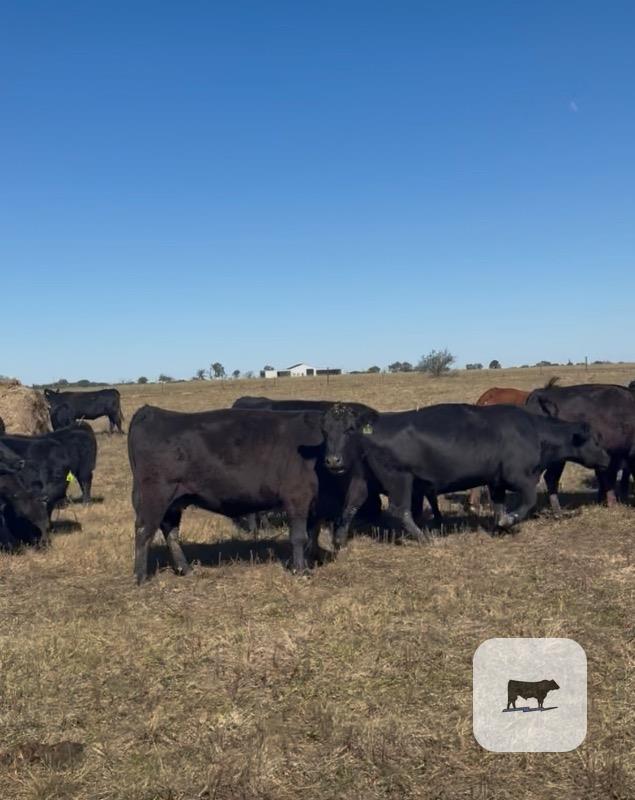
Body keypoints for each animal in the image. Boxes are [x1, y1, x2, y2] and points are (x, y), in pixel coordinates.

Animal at [128, 405, 357, 584]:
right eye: (324, 432)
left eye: (351, 430)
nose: (334, 460)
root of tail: (150, 412)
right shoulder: (297, 498)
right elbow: (299, 537)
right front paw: (300, 570)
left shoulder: (316, 505)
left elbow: (313, 534)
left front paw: (311, 560)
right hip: (155, 495)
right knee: (144, 531)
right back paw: (141, 577)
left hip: (174, 501)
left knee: (171, 532)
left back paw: (186, 569)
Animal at [320, 403, 610, 543]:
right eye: (595, 440)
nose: (607, 457)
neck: (533, 431)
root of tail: (372, 425)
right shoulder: (521, 477)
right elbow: (526, 503)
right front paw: (509, 522)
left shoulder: (496, 481)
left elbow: (498, 504)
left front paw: (500, 526)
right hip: (400, 479)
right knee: (399, 510)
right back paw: (424, 538)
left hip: (363, 480)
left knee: (351, 504)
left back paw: (339, 540)